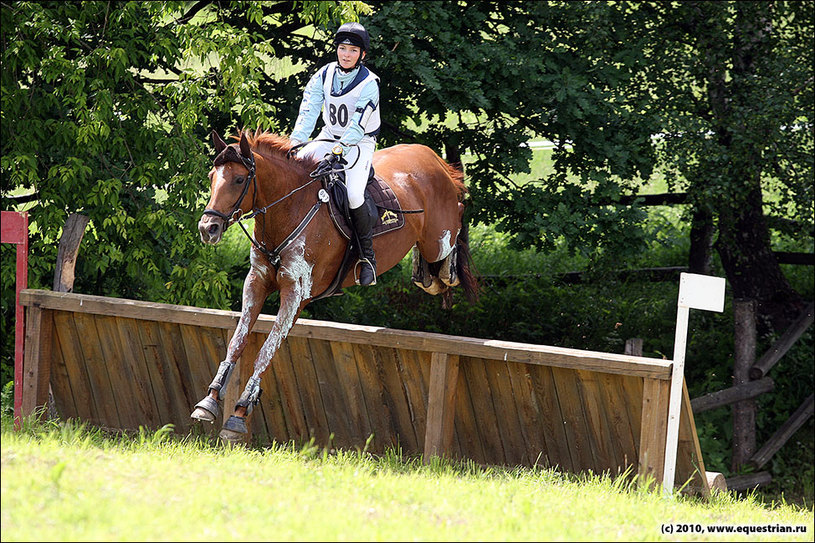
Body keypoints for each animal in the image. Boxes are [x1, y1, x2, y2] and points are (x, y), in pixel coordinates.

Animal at [191, 130, 478, 444]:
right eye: (212, 177)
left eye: (239, 180)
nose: (207, 228)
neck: (289, 209)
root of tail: (431, 156)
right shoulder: (256, 282)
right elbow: (237, 342)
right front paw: (209, 401)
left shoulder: (295, 295)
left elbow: (265, 351)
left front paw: (240, 413)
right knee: (431, 279)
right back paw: (423, 272)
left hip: (437, 239)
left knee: (455, 226)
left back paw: (449, 263)